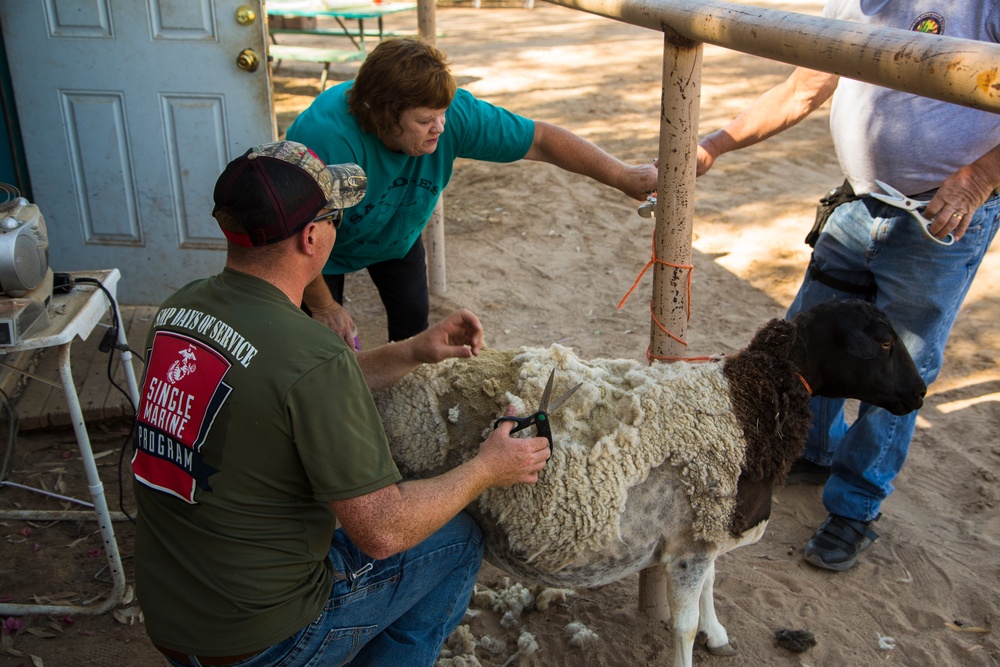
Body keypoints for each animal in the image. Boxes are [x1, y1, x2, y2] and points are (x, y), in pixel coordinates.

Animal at [374, 302, 920, 667]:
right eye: (884, 342)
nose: (918, 394)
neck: (747, 409)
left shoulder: (703, 530)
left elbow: (712, 585)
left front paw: (719, 635)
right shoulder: (690, 546)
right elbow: (683, 625)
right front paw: (700, 638)